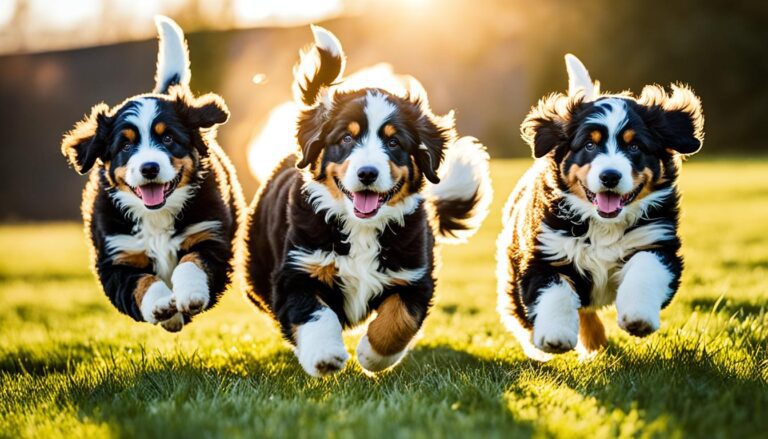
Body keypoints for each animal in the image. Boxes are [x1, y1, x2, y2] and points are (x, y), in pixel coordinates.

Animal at [61, 16, 244, 334]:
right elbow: (142, 282)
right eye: (125, 145)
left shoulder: (210, 236)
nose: (149, 168)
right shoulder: (116, 258)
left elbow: (191, 262)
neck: (157, 216)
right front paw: (162, 307)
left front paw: (191, 294)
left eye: (168, 138)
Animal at [246, 26, 492, 378]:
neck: (360, 228)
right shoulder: (298, 269)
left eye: (394, 142)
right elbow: (314, 313)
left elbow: (399, 320)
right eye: (346, 138)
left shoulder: (414, 275)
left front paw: (372, 356)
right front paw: (325, 355)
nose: (367, 173)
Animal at [496, 53, 704, 360]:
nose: (610, 176)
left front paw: (638, 316)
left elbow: (645, 267)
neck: (602, 225)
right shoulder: (543, 253)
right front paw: (555, 335)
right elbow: (554, 290)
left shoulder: (657, 242)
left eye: (634, 147)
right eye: (589, 146)